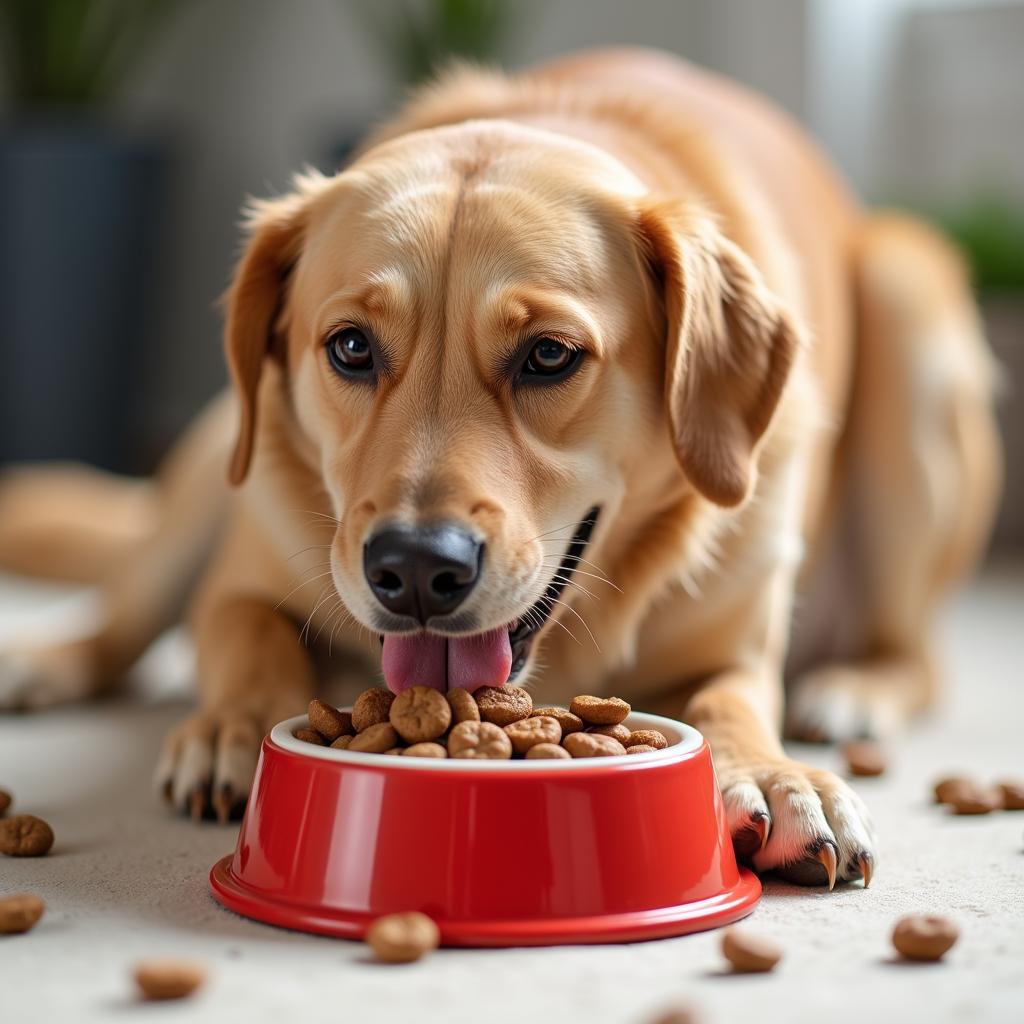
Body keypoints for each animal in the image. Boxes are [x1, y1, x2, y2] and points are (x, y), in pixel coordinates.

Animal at [0, 48, 999, 884]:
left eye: (549, 356)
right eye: (351, 347)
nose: (413, 571)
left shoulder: (737, 643)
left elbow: (731, 701)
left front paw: (774, 775)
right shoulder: (245, 579)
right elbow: (251, 636)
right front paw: (233, 726)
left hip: (910, 308)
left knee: (918, 656)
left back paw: (854, 688)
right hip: (217, 460)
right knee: (120, 618)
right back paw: (44, 661)